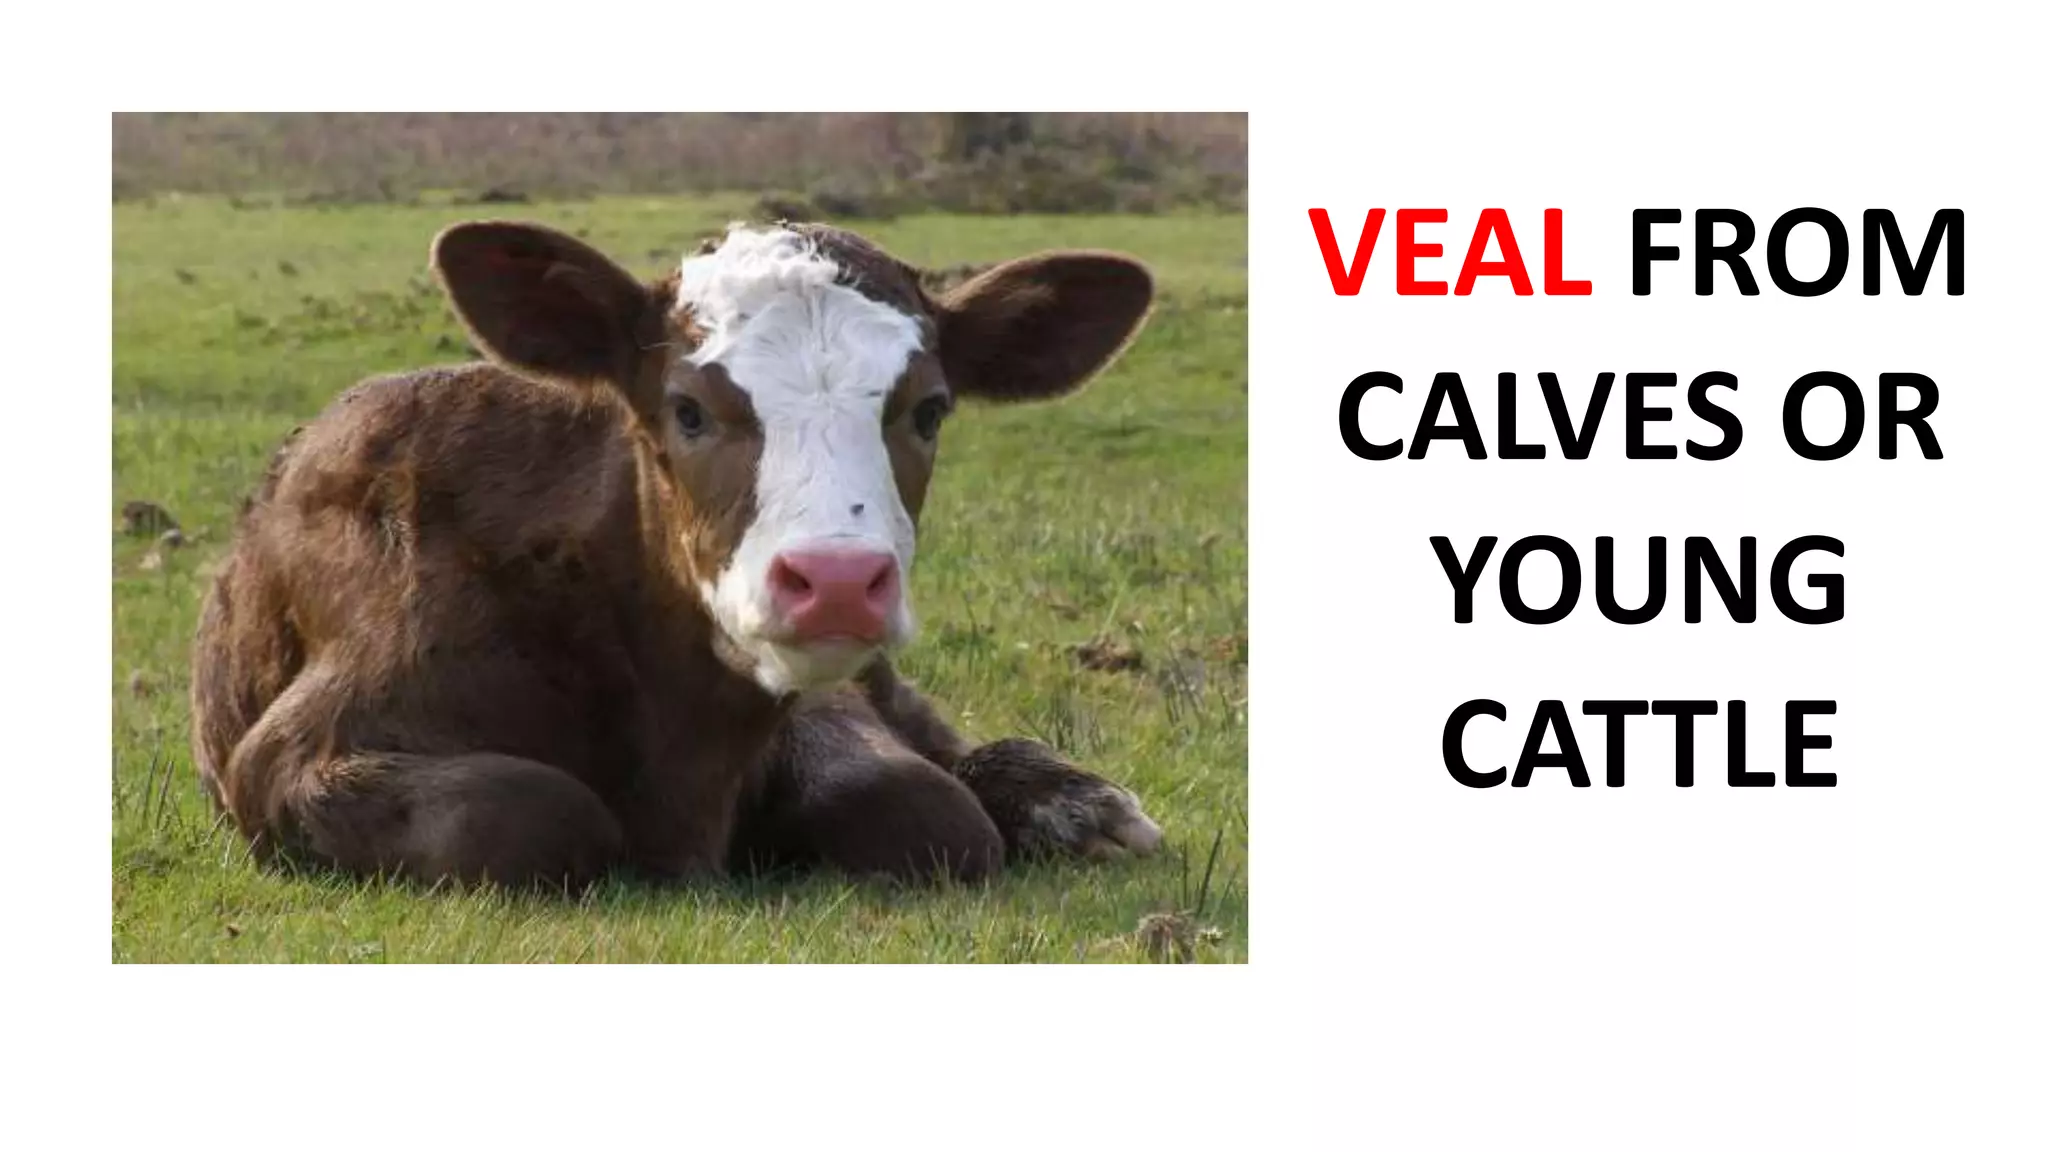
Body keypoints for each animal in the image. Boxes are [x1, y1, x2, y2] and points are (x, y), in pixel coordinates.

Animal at [188, 219, 1164, 889]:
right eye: (688, 410)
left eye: (929, 409)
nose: (838, 583)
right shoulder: (294, 756)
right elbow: (527, 810)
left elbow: (919, 804)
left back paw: (1080, 804)